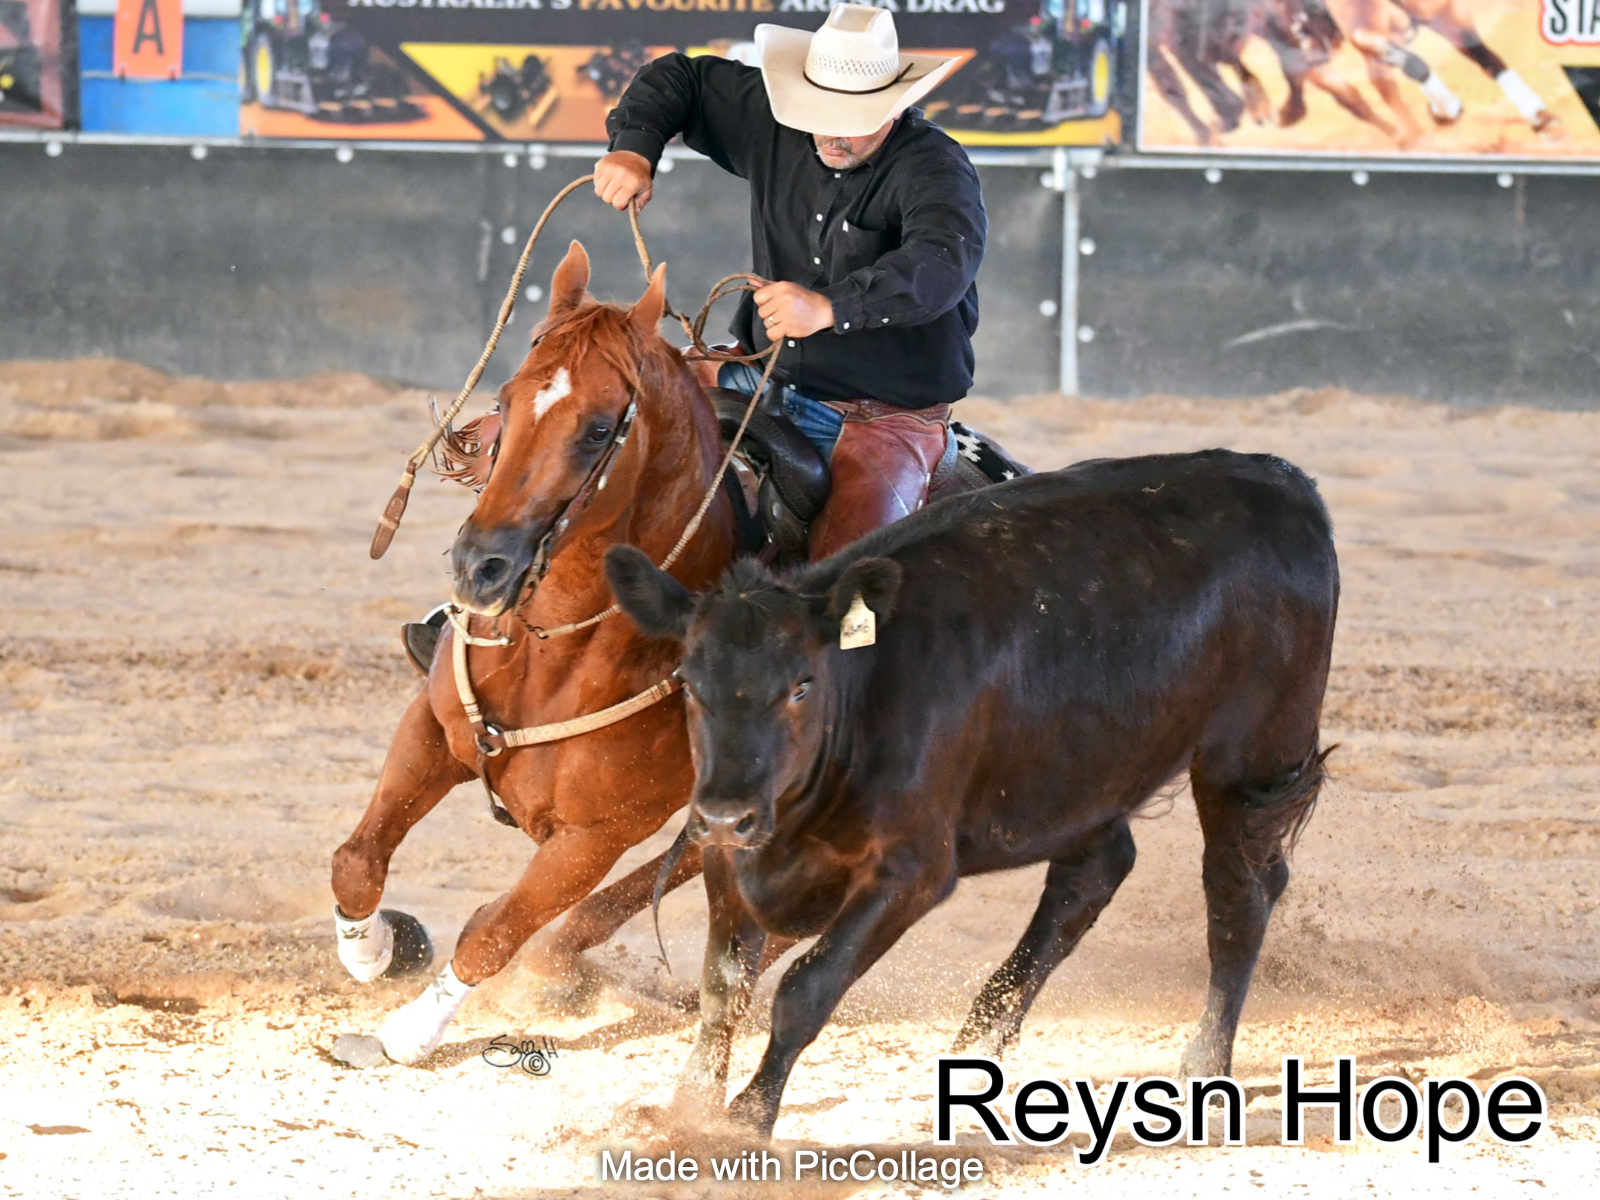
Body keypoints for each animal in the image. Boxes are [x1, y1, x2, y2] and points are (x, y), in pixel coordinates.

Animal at [605, 448, 1340, 1138]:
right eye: (688, 682)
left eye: (801, 685)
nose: (727, 814)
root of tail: (1282, 479)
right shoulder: (727, 855)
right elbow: (722, 988)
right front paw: (688, 1105)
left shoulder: (912, 869)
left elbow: (804, 988)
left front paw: (746, 1117)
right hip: (1084, 768)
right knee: (1090, 877)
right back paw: (971, 1059)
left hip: (1250, 759)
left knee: (1239, 896)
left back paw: (1204, 1068)